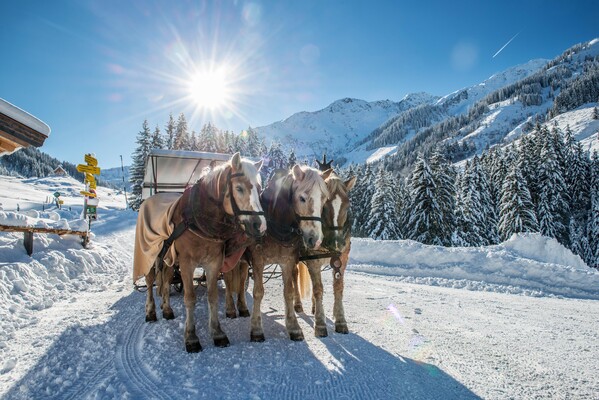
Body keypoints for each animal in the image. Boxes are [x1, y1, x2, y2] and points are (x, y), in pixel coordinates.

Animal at [137, 153, 268, 354]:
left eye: (260, 189)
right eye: (239, 188)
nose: (260, 226)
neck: (199, 219)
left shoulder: (213, 262)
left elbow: (212, 297)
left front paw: (217, 333)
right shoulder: (186, 264)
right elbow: (190, 298)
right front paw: (191, 338)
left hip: (168, 259)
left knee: (165, 282)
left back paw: (167, 310)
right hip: (151, 256)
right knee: (151, 282)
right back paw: (151, 312)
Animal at [294, 167, 356, 336]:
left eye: (347, 206)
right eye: (325, 206)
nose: (337, 242)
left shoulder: (342, 259)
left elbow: (338, 287)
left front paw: (340, 320)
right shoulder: (313, 260)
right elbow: (318, 289)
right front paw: (320, 323)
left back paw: (315, 307)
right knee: (294, 276)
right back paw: (298, 304)